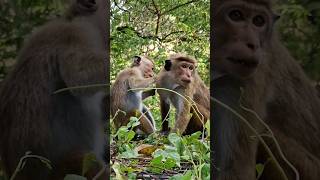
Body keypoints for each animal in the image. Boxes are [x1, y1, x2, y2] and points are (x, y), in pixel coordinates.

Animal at [211, 0, 320, 179]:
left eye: (258, 21)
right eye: (236, 15)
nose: (253, 45)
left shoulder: (249, 80)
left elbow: (235, 169)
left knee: (265, 134)